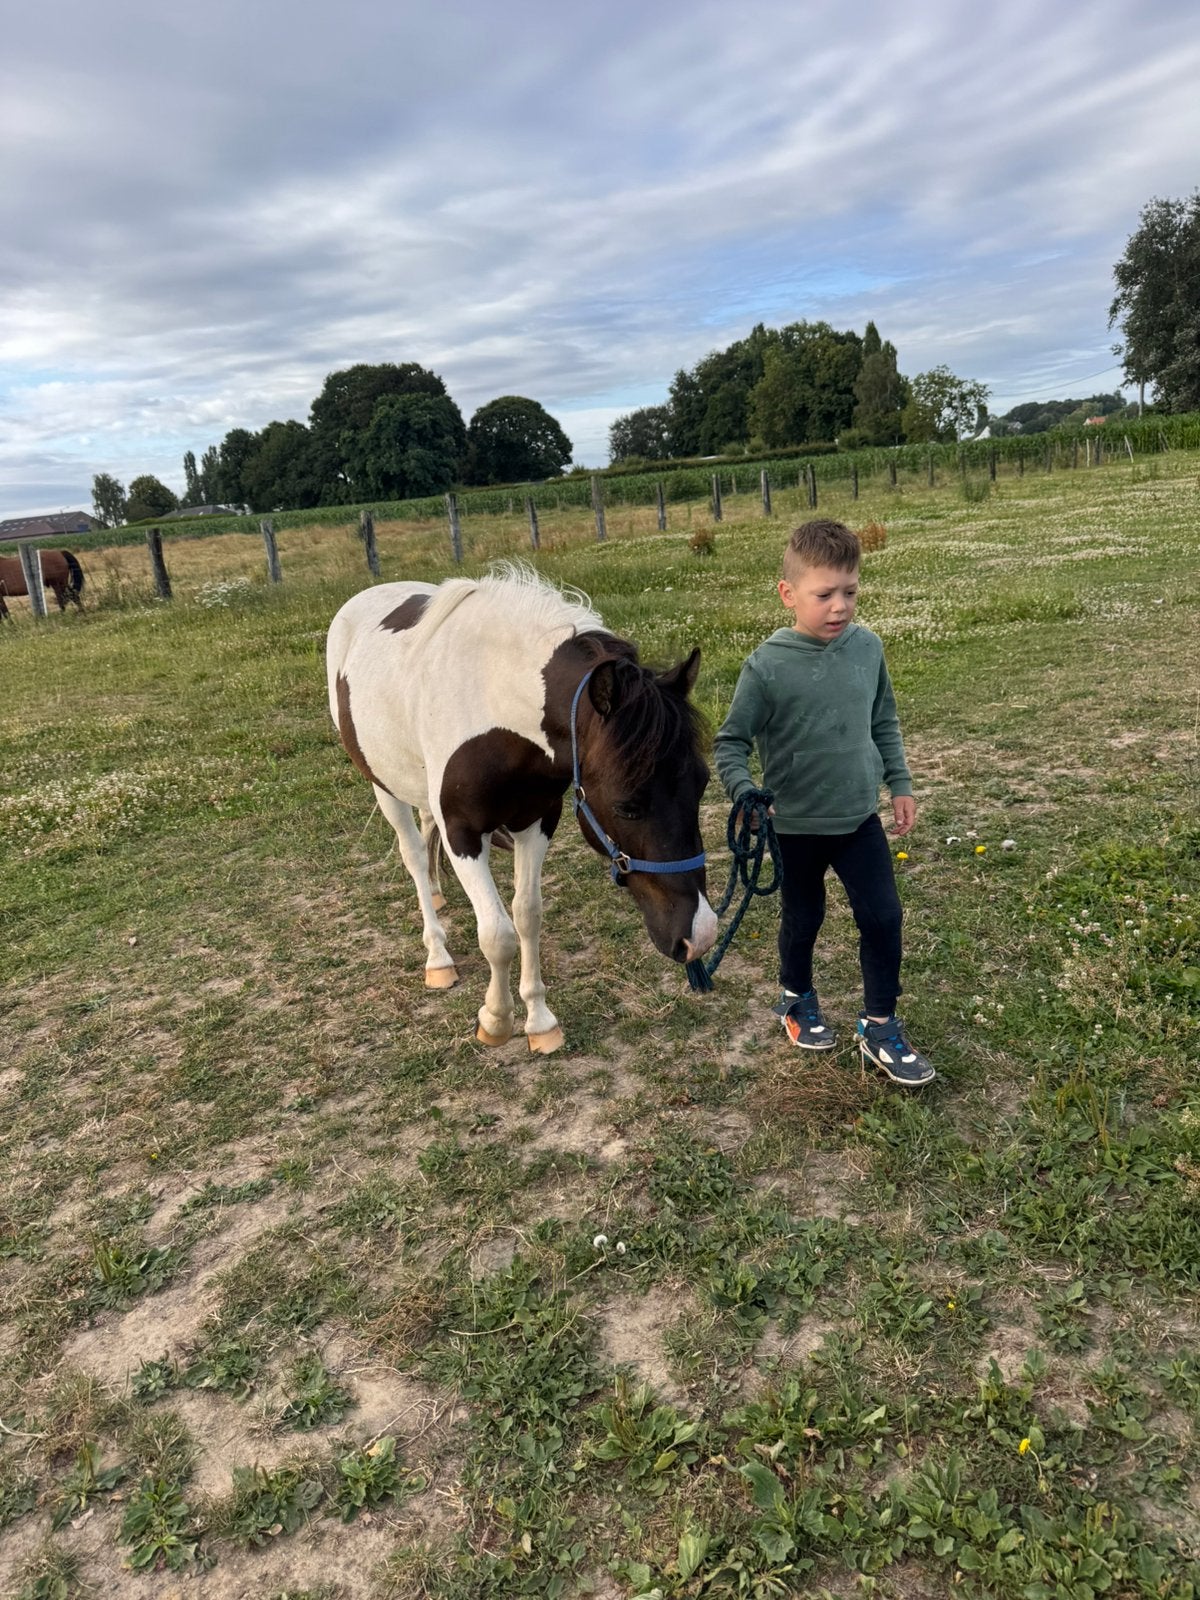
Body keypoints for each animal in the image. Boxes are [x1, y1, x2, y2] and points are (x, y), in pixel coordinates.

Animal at [326, 566, 717, 1053]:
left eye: (702, 783)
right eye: (627, 806)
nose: (700, 936)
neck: (495, 702)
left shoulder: (537, 820)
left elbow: (527, 916)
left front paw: (540, 1021)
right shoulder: (462, 833)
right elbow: (497, 935)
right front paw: (495, 1020)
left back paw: (436, 892)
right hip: (383, 787)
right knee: (413, 855)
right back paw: (437, 956)